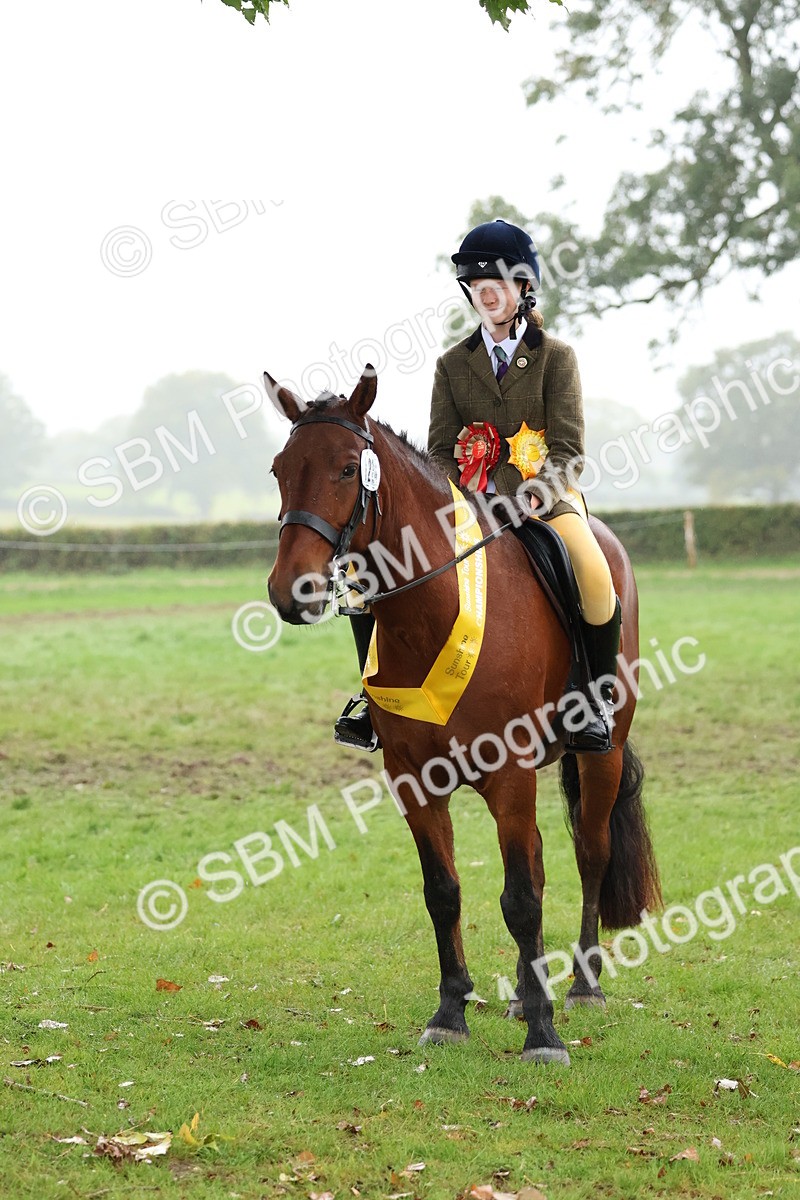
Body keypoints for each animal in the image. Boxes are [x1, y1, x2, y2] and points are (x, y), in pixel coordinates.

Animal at [265, 366, 661, 1065]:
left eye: (347, 468)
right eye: (279, 469)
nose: (293, 591)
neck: (430, 608)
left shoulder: (510, 773)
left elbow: (521, 899)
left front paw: (544, 1036)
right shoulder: (412, 778)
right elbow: (443, 893)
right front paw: (452, 1012)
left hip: (603, 753)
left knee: (590, 851)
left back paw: (582, 985)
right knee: (541, 860)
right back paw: (525, 993)